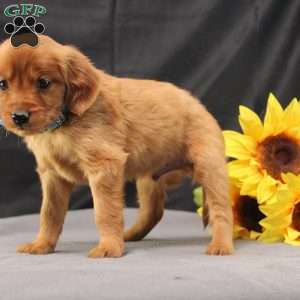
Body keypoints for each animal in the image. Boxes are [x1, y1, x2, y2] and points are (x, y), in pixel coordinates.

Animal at [0, 34, 233, 255]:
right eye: (3, 84)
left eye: (43, 83)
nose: (19, 117)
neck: (62, 125)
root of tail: (198, 105)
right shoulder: (52, 175)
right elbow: (49, 214)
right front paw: (41, 245)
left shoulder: (105, 165)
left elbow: (105, 211)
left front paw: (109, 247)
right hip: (148, 180)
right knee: (153, 212)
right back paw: (129, 235)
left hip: (210, 167)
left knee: (222, 210)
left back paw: (221, 245)